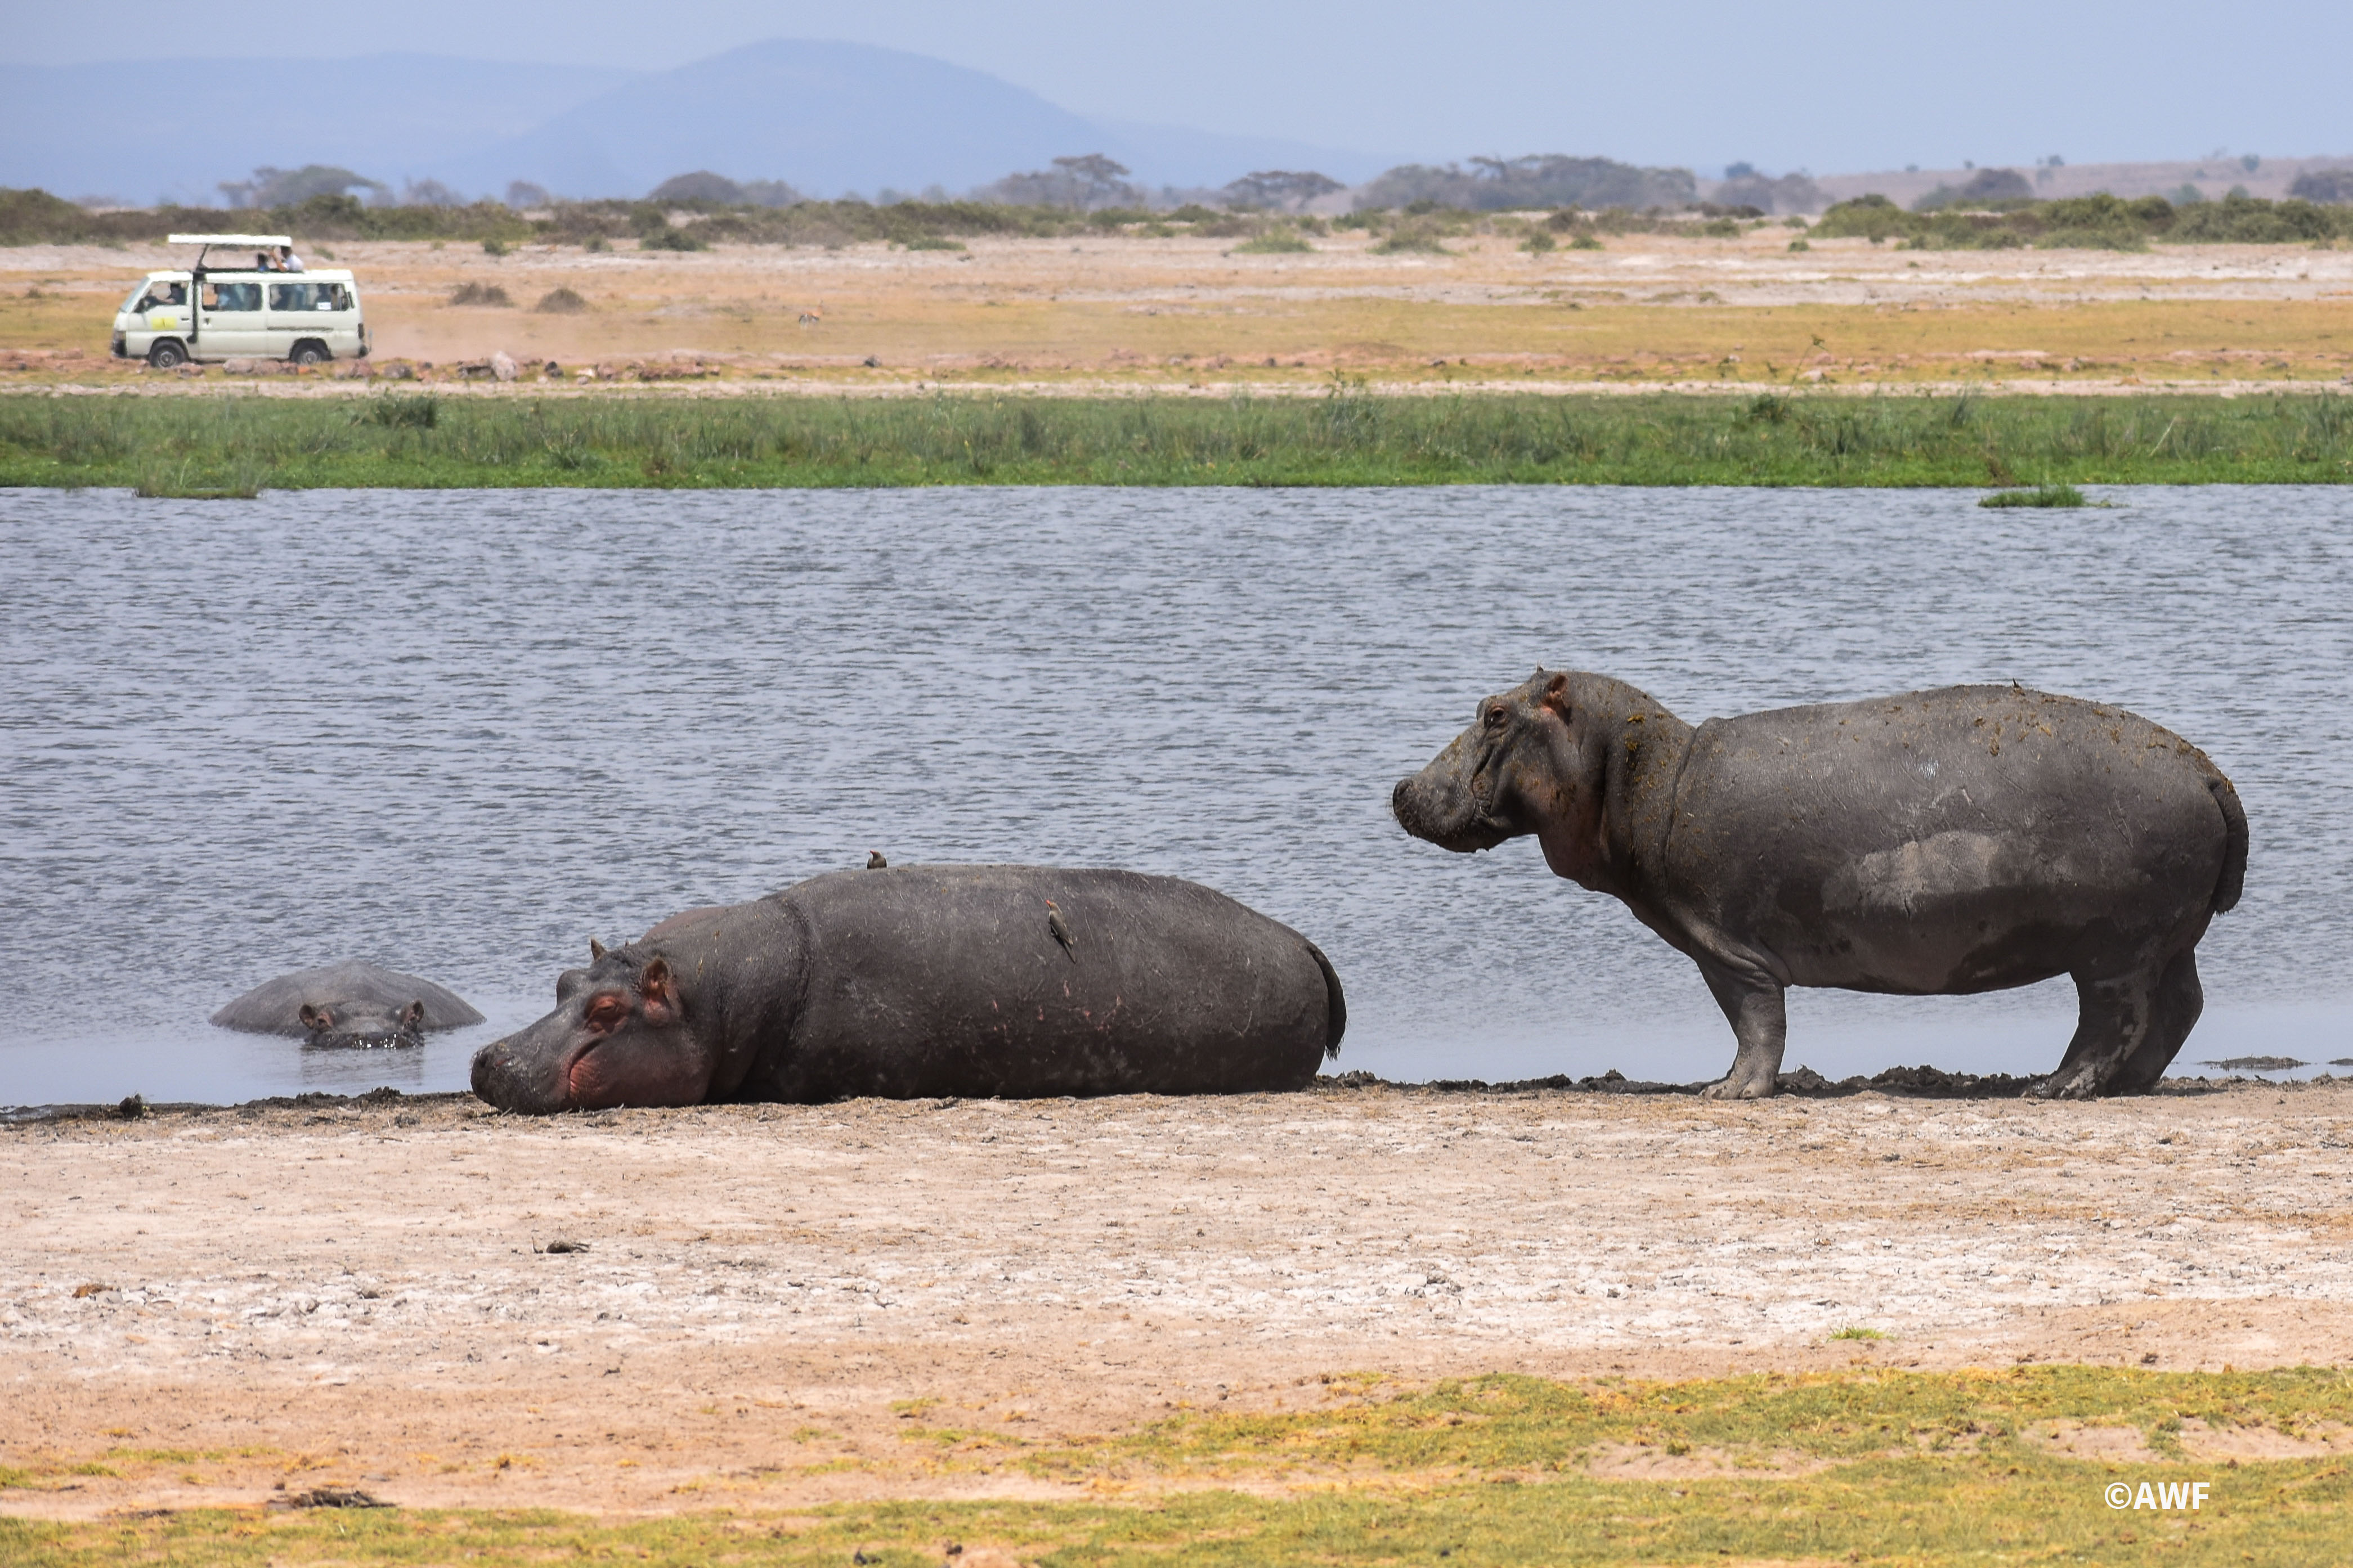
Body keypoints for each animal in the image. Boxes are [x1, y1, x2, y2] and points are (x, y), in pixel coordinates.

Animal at [1383, 667, 2249, 1100]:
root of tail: (2208, 771)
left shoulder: (1726, 949)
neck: (1635, 768)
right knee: (2179, 1007)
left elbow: (1755, 1025)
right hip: (2167, 938)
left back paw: (2054, 1088)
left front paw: (1727, 1093)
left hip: (2112, 947)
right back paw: (2126, 1086)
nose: (1398, 788)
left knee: (2113, 1018)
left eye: (1494, 713)